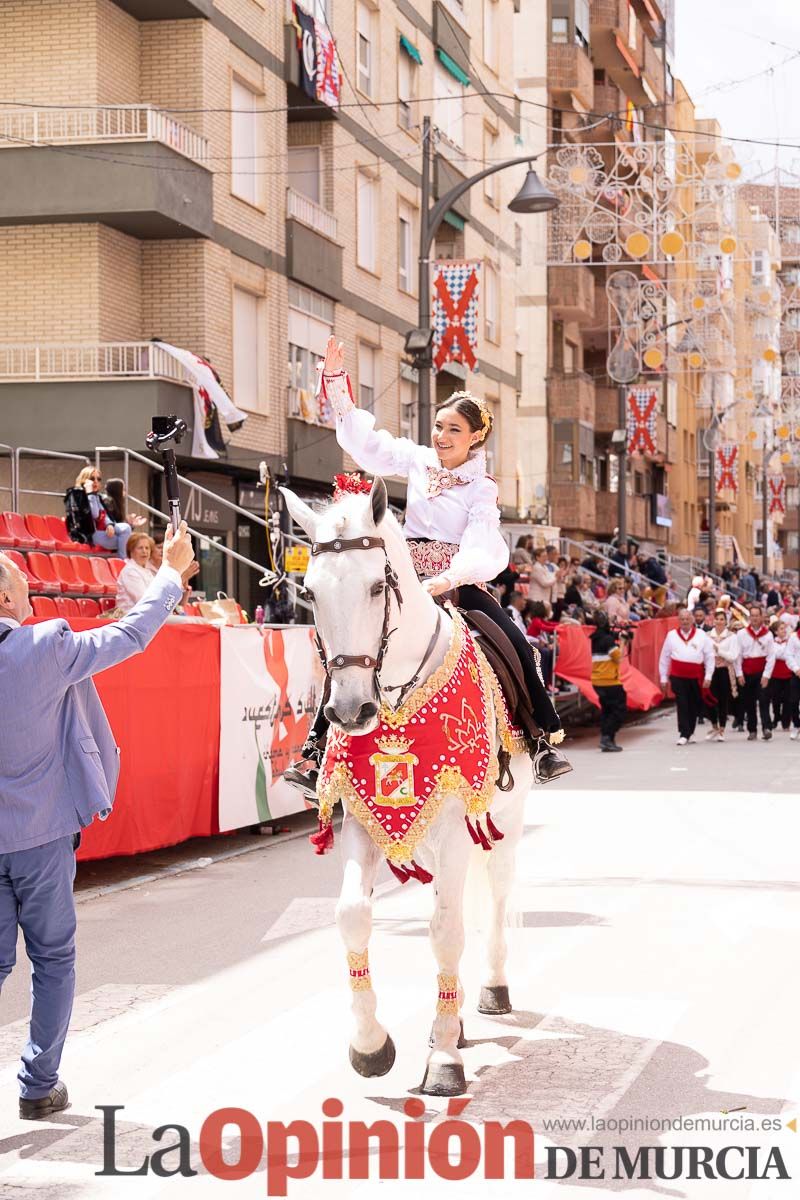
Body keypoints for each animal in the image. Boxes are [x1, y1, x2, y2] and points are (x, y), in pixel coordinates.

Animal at [281, 477, 532, 1099]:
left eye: (377, 585)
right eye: (311, 592)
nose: (349, 711)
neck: (395, 694)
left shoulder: (459, 827)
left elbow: (446, 931)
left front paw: (442, 1058)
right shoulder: (361, 821)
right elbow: (353, 915)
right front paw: (371, 1045)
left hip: (505, 825)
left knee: (494, 896)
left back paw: (491, 990)